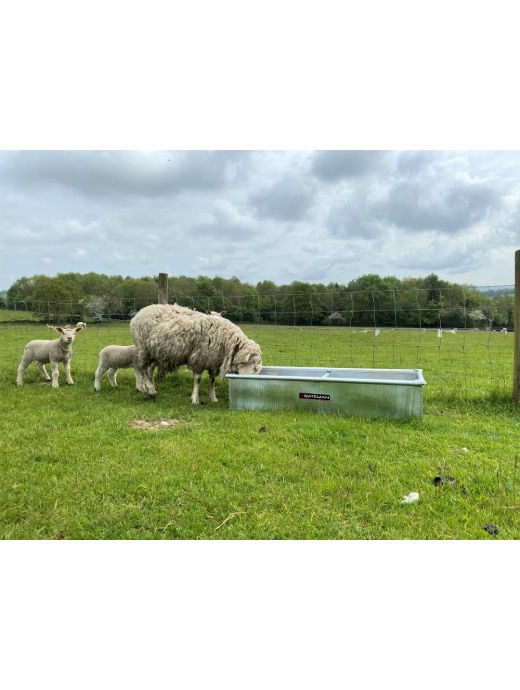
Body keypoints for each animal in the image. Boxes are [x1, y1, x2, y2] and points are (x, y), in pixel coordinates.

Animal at [130, 303, 262, 403]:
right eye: (249, 363)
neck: (226, 339)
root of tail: (139, 313)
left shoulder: (212, 361)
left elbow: (212, 380)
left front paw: (213, 398)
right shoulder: (199, 358)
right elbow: (198, 379)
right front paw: (195, 399)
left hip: (156, 352)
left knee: (149, 369)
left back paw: (151, 388)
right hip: (144, 348)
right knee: (143, 369)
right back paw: (148, 389)